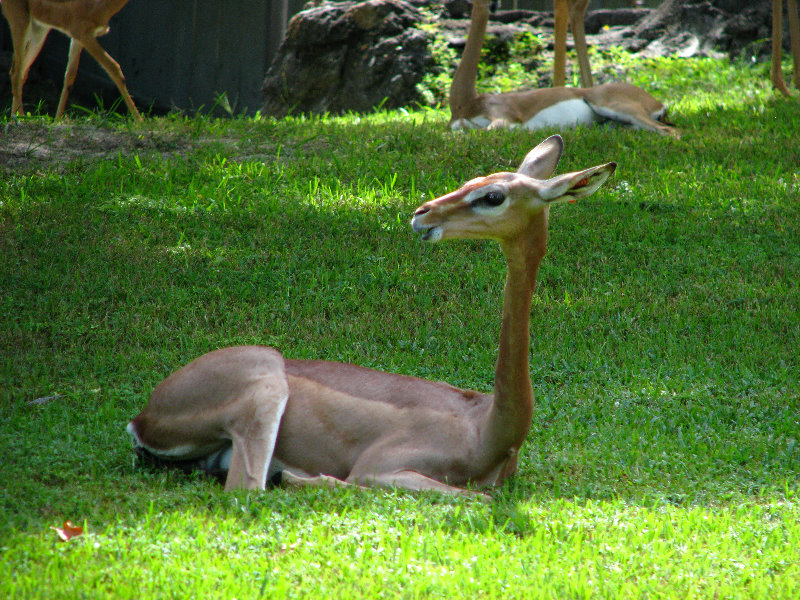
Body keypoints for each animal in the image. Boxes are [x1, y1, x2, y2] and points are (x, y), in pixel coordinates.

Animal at [126, 135, 620, 496]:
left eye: (493, 194)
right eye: (473, 179)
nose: (423, 213)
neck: (485, 431)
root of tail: (143, 417)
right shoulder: (379, 466)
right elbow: (470, 497)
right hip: (264, 387)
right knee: (247, 490)